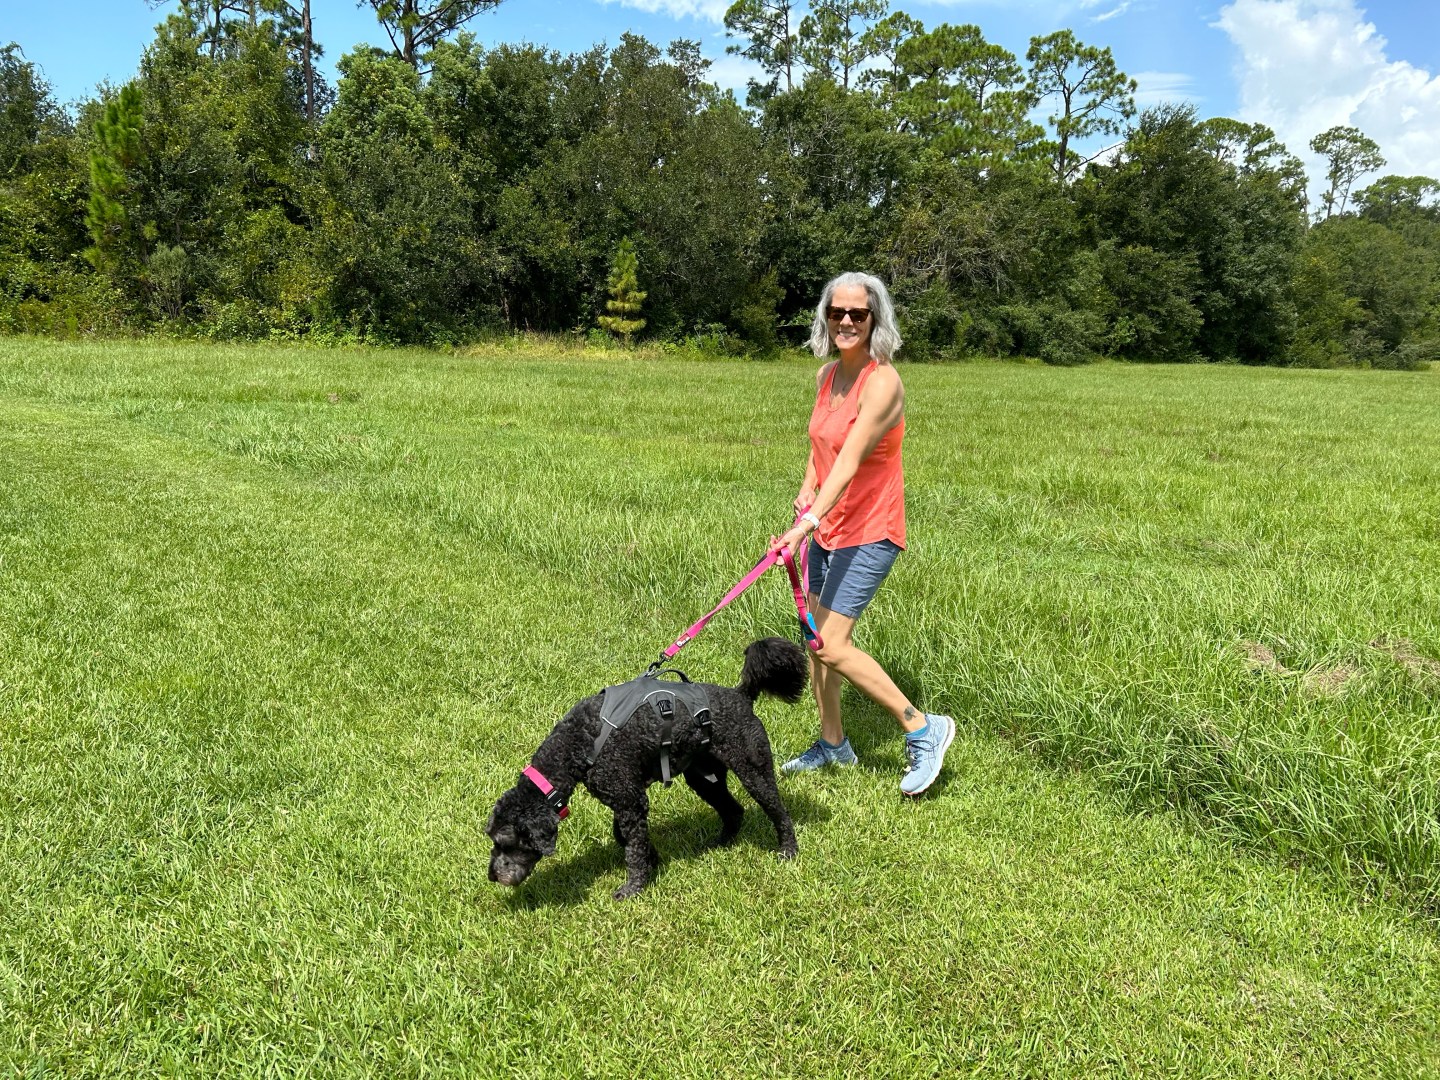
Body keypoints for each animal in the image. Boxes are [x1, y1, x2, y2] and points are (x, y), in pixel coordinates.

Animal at [486, 639, 806, 898]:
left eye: (507, 844)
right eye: (493, 841)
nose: (491, 876)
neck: (579, 742)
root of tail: (741, 695)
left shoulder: (630, 800)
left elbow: (632, 847)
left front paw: (634, 887)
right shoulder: (625, 800)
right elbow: (627, 838)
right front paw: (654, 861)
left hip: (754, 770)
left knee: (779, 813)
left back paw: (788, 850)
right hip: (705, 778)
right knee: (734, 811)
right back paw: (719, 845)